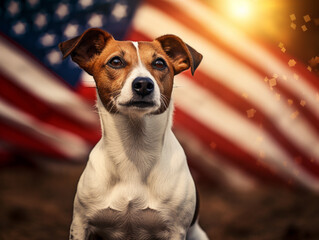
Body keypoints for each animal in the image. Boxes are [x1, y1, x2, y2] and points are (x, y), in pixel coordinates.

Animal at [59, 27, 210, 239]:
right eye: (115, 61)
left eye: (159, 63)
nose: (144, 84)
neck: (135, 150)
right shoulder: (81, 224)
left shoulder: (175, 230)